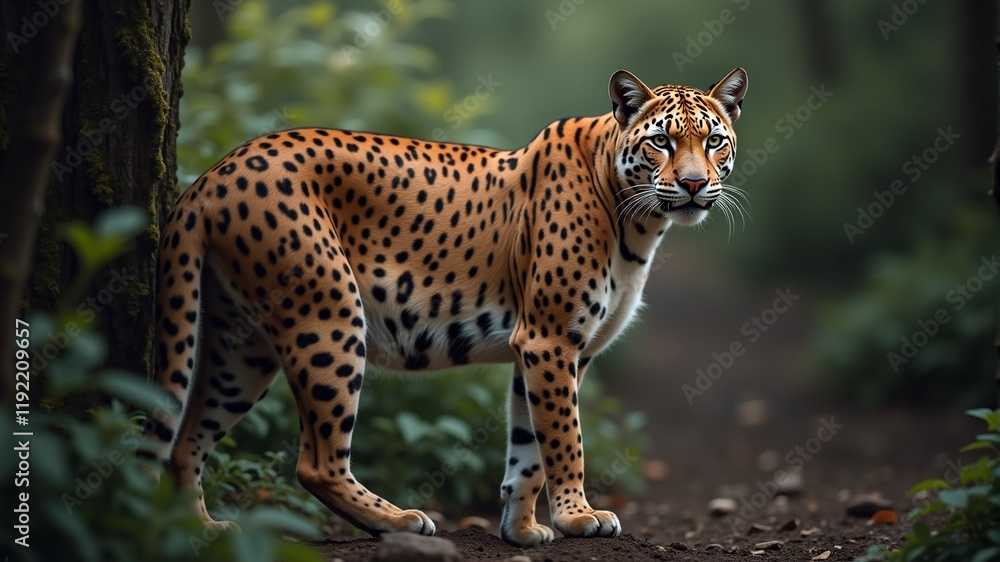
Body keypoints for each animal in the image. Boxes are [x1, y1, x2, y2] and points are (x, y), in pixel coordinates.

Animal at [141, 67, 748, 547]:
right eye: (662, 142)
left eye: (714, 141)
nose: (694, 184)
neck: (640, 226)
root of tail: (213, 174)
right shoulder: (551, 339)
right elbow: (565, 436)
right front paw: (579, 516)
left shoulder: (541, 349)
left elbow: (527, 446)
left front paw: (521, 530)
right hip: (329, 316)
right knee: (314, 462)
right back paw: (401, 521)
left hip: (243, 347)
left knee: (186, 439)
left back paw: (199, 529)